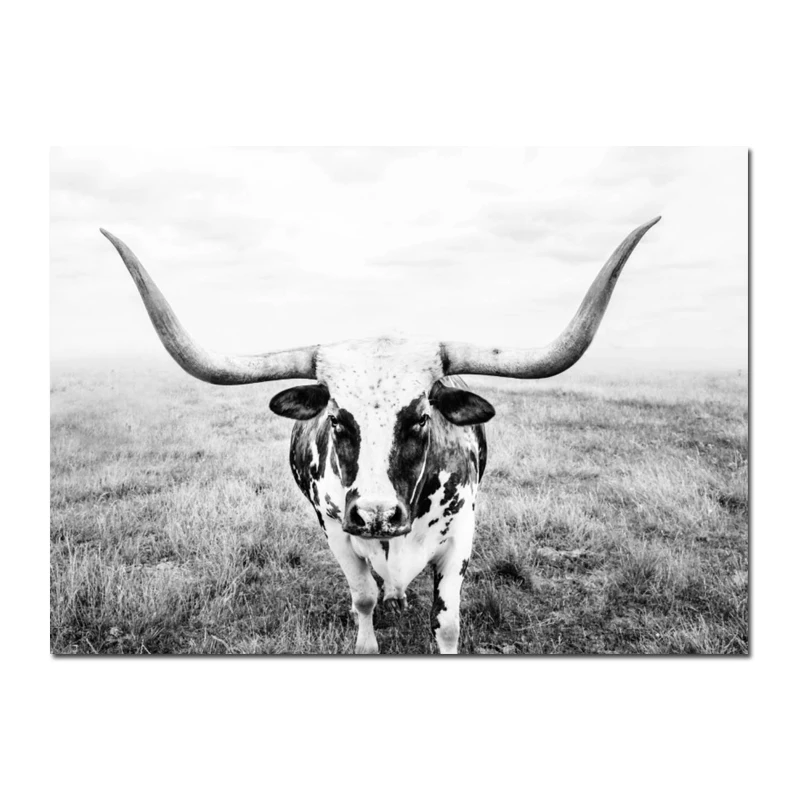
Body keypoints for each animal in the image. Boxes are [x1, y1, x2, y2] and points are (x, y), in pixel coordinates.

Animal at [101, 216, 659, 654]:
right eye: (337, 419)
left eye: (420, 417)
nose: (375, 515)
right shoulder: (334, 528)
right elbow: (363, 596)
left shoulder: (462, 532)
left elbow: (448, 624)